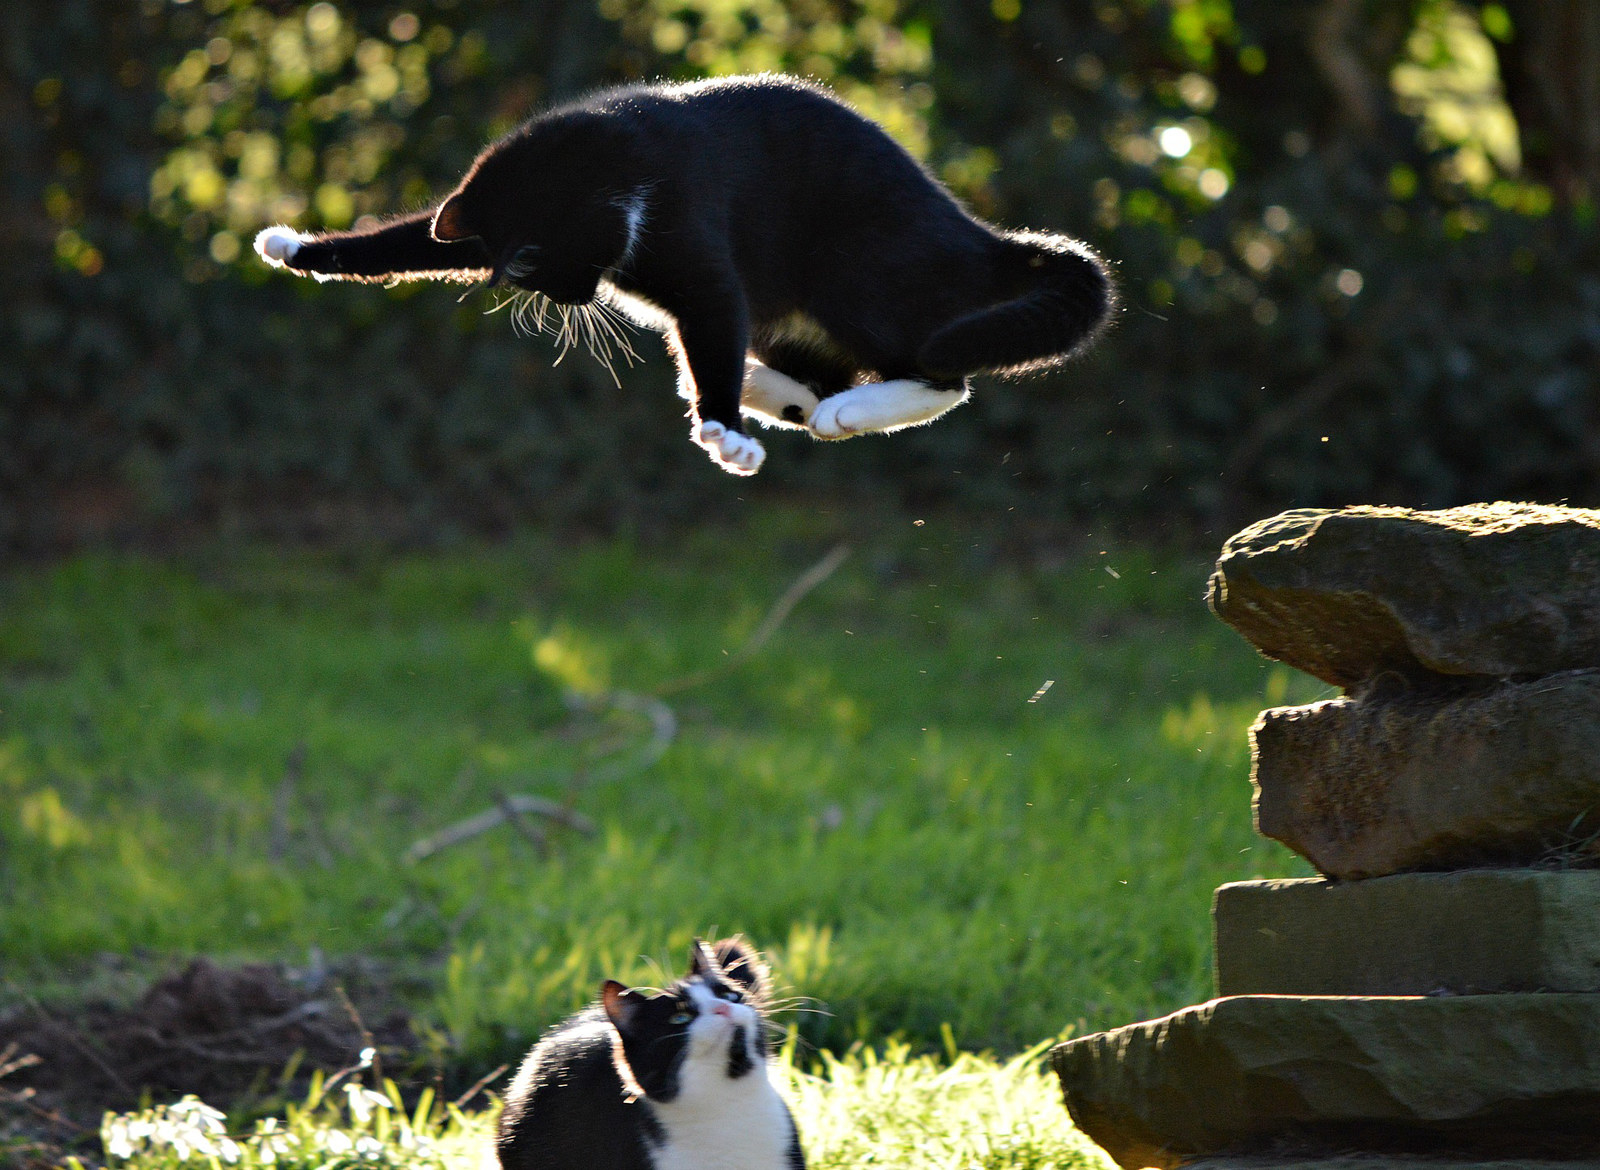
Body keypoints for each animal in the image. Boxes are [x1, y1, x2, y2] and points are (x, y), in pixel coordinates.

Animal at [259, 74, 1113, 476]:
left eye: (531, 262)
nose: (568, 295)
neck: (623, 170)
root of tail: (975, 234)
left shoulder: (703, 258)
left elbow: (712, 313)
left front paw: (725, 431)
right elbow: (409, 241)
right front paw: (295, 246)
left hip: (858, 271)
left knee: (940, 376)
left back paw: (823, 410)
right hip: (798, 316)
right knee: (800, 373)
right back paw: (779, 394)